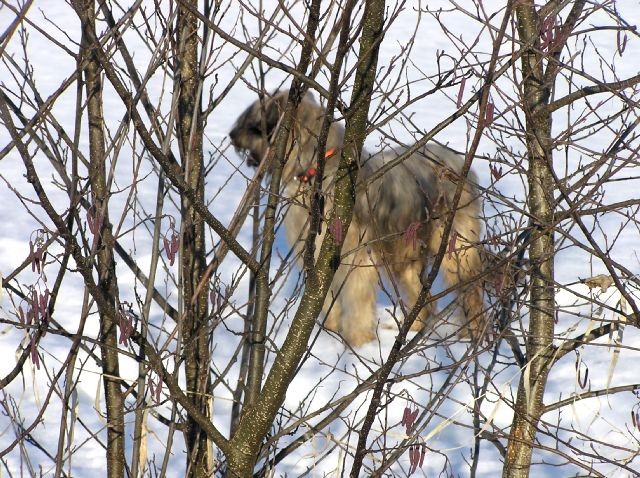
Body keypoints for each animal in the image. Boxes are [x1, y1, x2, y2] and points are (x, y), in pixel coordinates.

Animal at [230, 91, 484, 346]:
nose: (232, 136)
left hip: (455, 248)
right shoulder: (320, 260)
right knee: (424, 301)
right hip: (407, 251)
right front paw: (330, 333)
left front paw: (359, 342)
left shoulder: (356, 259)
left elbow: (357, 302)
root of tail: (460, 163)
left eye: (253, 126)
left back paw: (472, 335)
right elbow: (326, 299)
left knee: (471, 291)